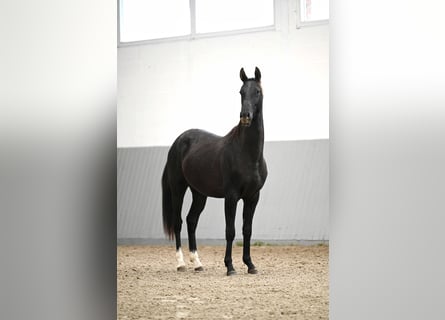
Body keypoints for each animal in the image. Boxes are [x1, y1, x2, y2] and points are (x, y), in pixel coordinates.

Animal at [163, 67, 268, 276]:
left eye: (257, 92)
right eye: (241, 92)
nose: (245, 116)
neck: (247, 154)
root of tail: (178, 141)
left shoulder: (253, 196)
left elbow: (247, 230)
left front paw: (250, 265)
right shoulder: (231, 196)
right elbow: (230, 231)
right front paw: (230, 267)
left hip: (199, 193)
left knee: (191, 220)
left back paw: (197, 263)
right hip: (178, 188)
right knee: (178, 222)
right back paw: (181, 263)